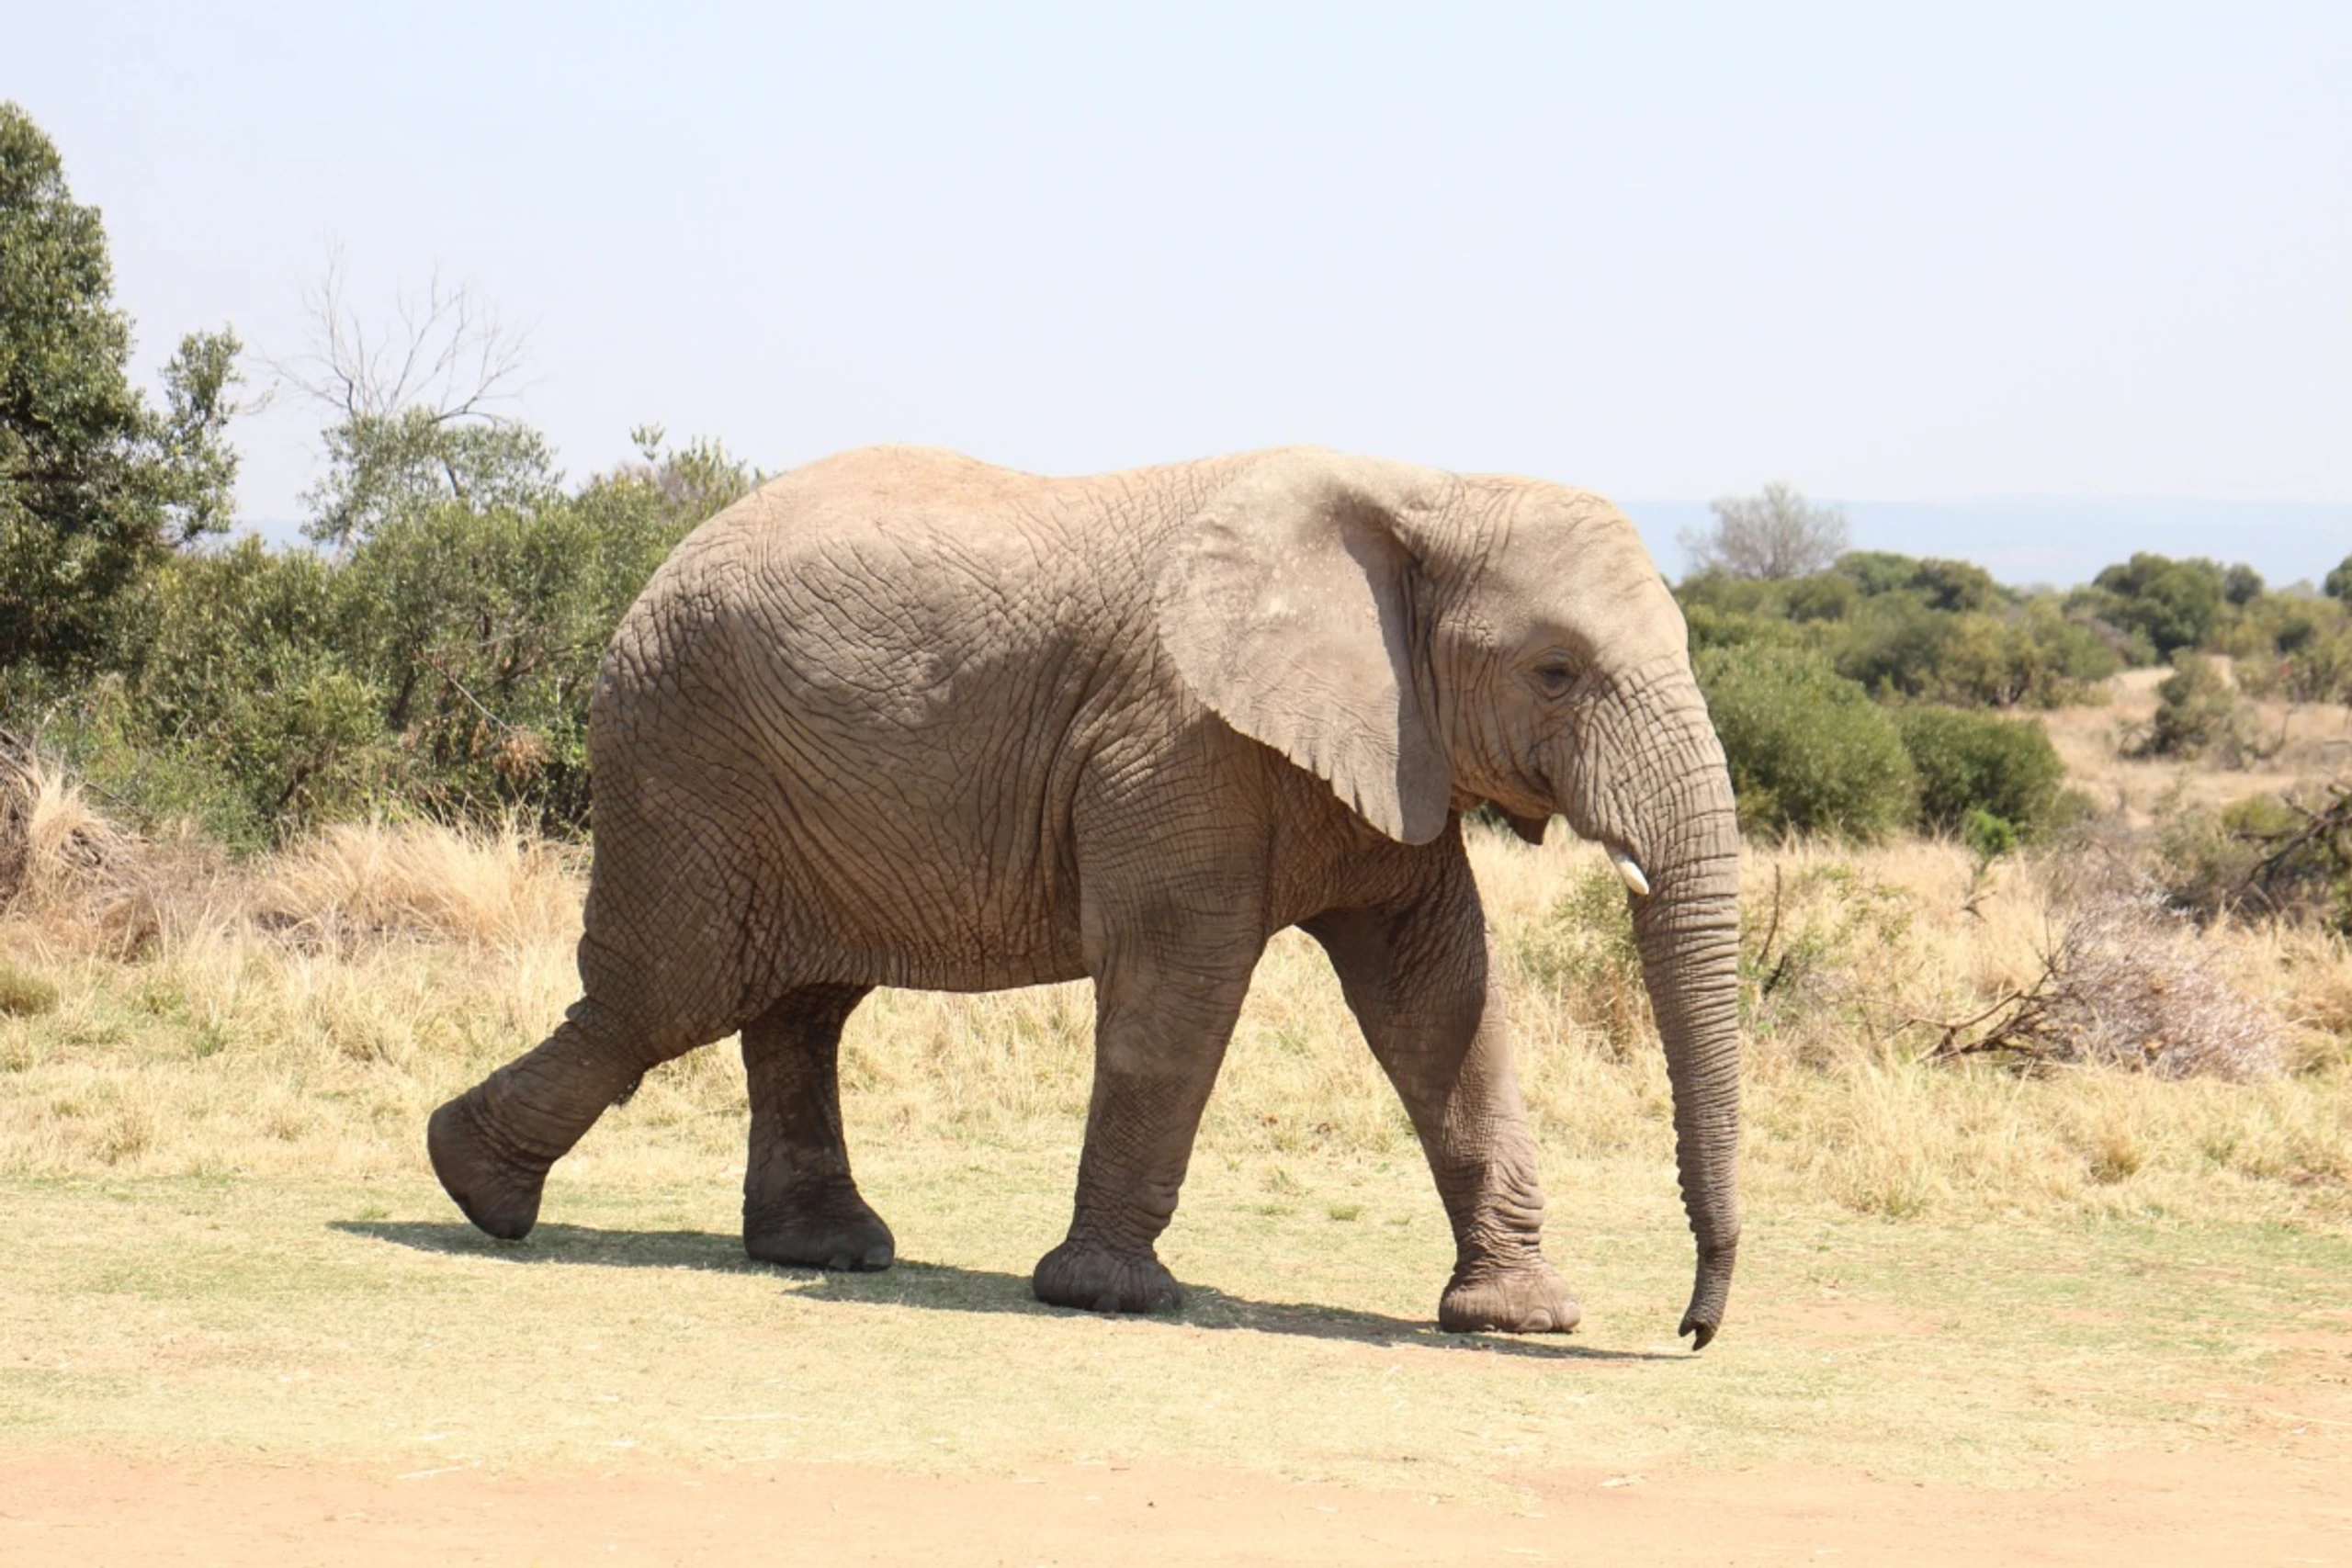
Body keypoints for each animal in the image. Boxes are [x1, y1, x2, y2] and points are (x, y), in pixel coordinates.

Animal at [427, 446, 1742, 1346]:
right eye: (1555, 672)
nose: (1689, 1330)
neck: (1425, 490)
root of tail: (657, 567)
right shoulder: (1174, 743)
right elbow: (1180, 979)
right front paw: (1110, 1296)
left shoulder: (1390, 746)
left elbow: (1439, 1000)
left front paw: (1520, 1317)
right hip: (683, 752)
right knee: (670, 992)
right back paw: (473, 1189)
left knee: (799, 1006)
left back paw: (827, 1252)